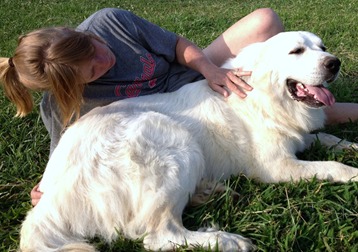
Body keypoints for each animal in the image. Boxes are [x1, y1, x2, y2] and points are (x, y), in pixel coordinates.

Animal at [20, 32, 358, 252]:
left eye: (322, 47)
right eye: (296, 51)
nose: (334, 63)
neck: (265, 96)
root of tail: (50, 196)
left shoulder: (300, 137)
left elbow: (327, 137)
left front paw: (351, 146)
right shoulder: (277, 167)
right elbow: (332, 166)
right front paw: (353, 172)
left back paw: (209, 192)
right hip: (173, 138)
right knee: (157, 236)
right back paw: (226, 240)